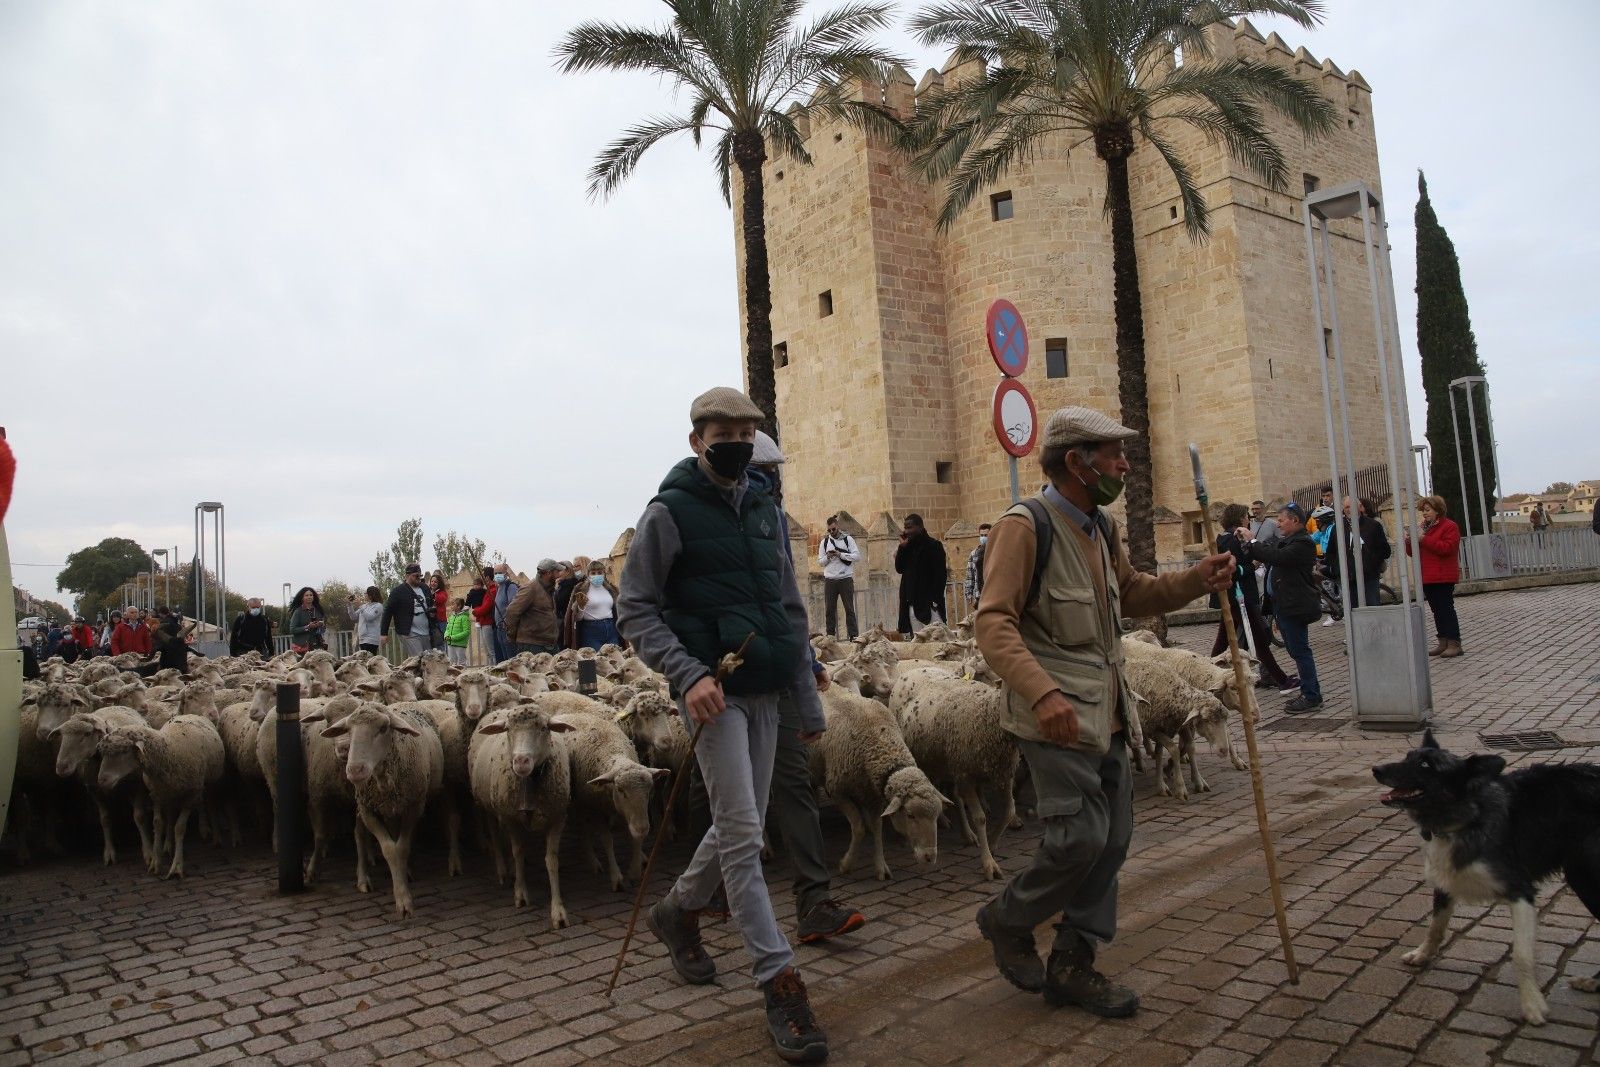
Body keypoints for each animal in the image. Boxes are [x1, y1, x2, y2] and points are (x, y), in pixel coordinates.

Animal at [94, 713, 224, 883]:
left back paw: (215, 836)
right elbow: (158, 823)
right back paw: (168, 845)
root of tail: (190, 714)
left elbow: (179, 827)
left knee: (210, 803)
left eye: (123, 751)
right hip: (172, 793)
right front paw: (155, 863)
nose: (101, 781)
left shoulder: (190, 796)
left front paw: (176, 867)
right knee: (172, 814)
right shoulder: (156, 795)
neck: (170, 751)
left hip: (210, 781)